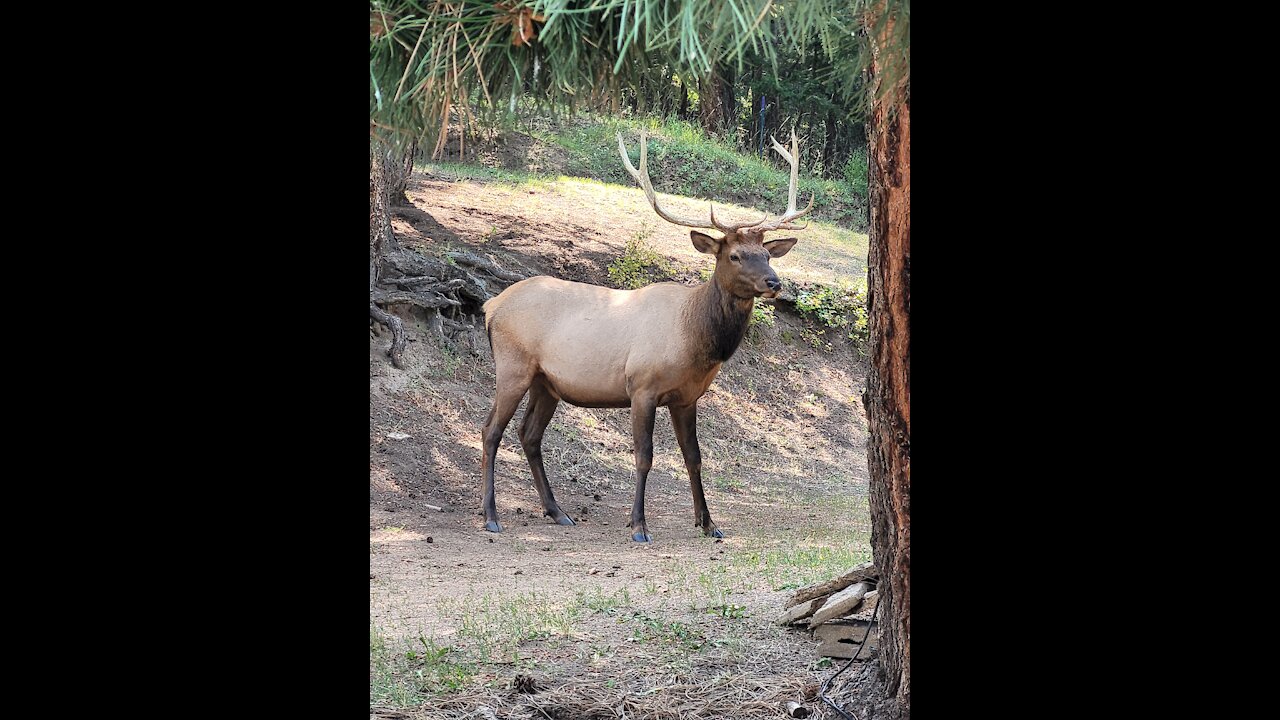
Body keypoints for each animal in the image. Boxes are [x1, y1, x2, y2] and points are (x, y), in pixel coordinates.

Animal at [476, 131, 814, 540]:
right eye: (734, 255)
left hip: (547, 382)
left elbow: (694, 458)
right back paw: (491, 515)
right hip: (513, 365)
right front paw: (638, 524)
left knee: (529, 435)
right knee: (491, 430)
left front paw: (709, 524)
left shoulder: (687, 397)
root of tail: (491, 305)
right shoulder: (642, 387)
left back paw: (558, 512)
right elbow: (644, 455)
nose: (774, 283)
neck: (694, 338)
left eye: (766, 254)